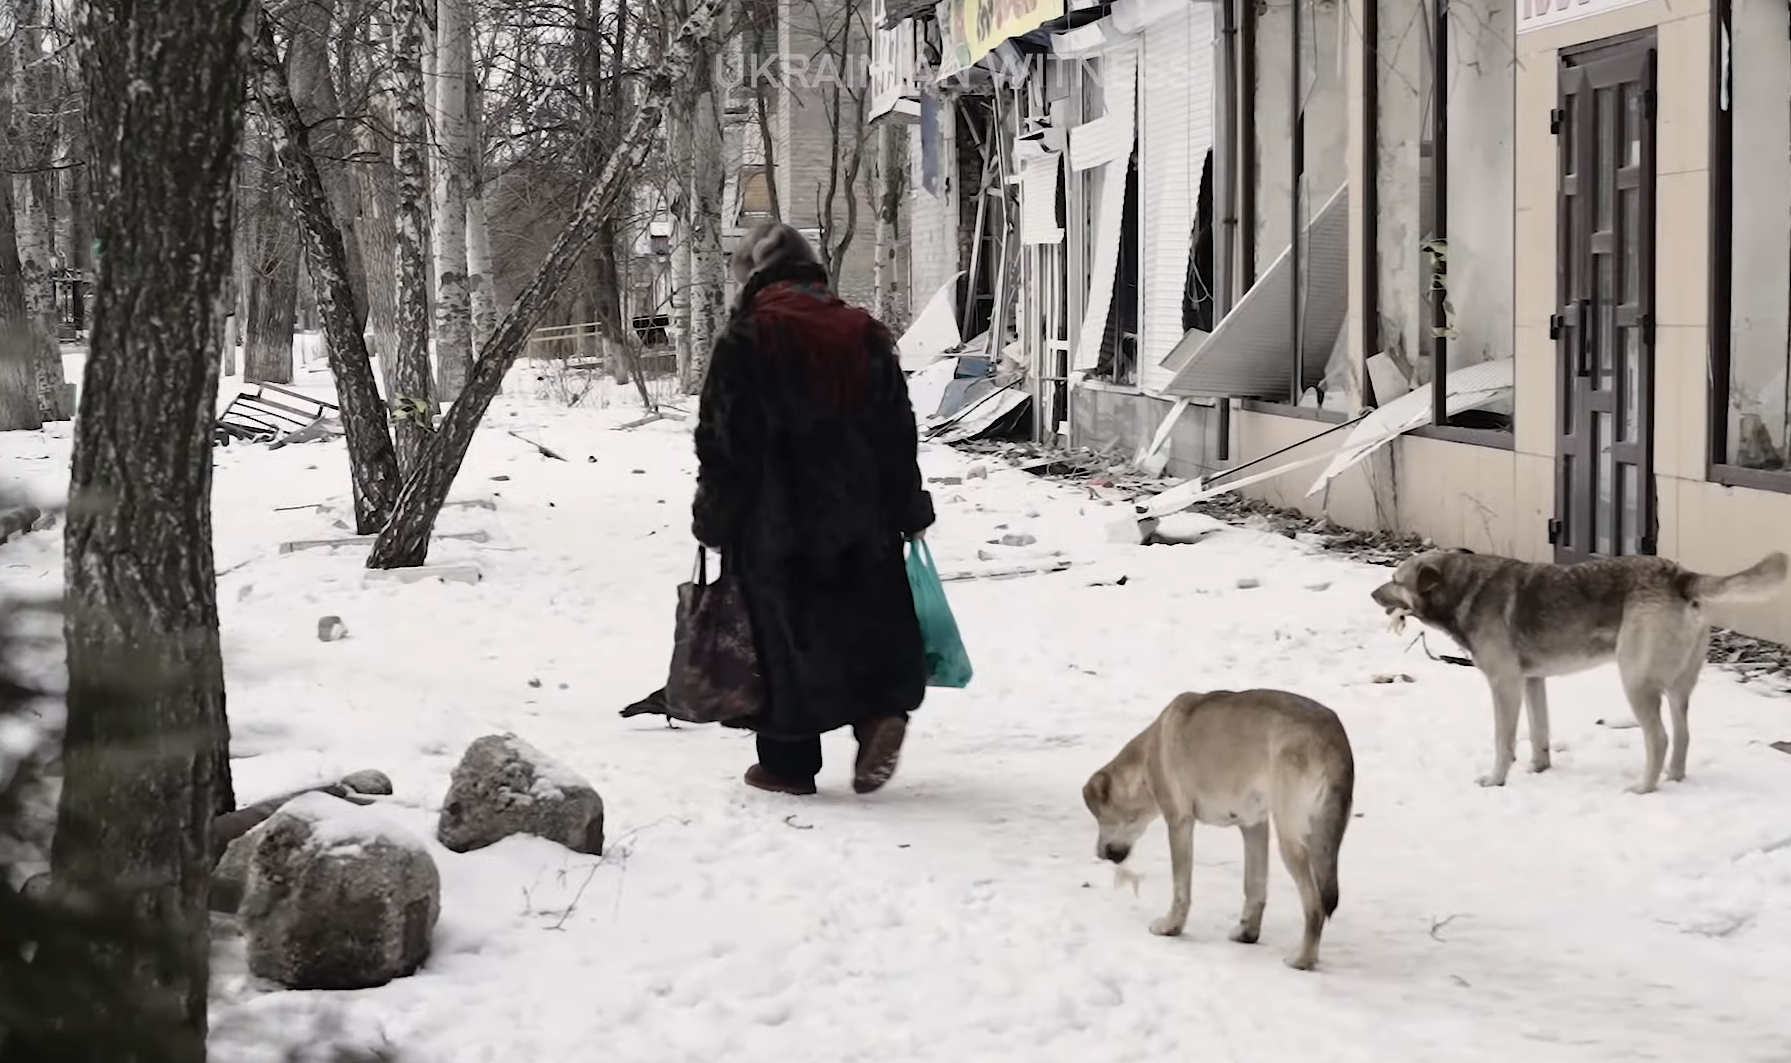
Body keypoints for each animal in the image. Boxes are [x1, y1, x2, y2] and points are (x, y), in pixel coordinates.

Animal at [1074, 687, 1353, 966]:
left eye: (1100, 818)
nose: (1099, 853)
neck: (1145, 762)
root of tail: (1333, 740)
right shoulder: (1254, 825)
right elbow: (1254, 886)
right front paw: (1247, 933)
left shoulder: (1179, 821)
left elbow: (1181, 888)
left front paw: (1171, 927)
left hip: (1291, 839)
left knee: (1315, 905)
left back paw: (1302, 959)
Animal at [1368, 547, 1776, 787]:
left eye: (1395, 580)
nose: (1372, 594)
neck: (1464, 588)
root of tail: (1680, 575)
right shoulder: (1532, 681)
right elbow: (1539, 732)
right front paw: (1539, 769)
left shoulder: (1504, 684)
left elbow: (1503, 741)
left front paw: (1496, 780)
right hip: (1678, 687)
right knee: (1683, 734)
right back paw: (1673, 779)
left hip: (1636, 681)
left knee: (1659, 738)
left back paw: (1644, 788)